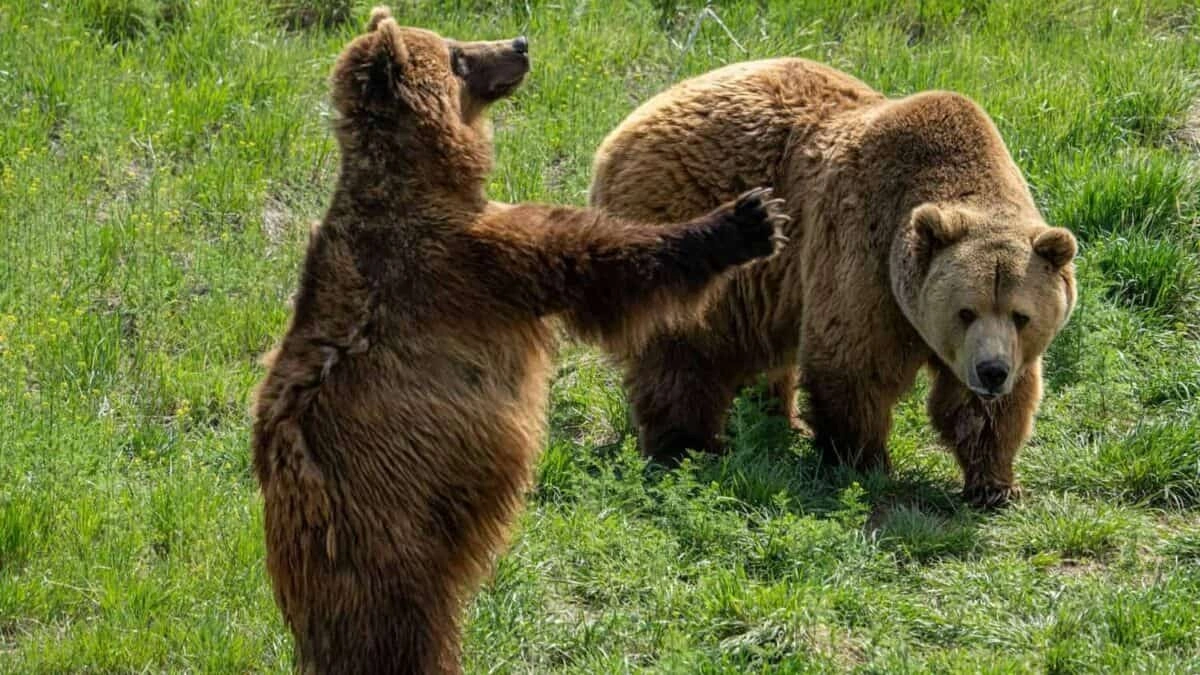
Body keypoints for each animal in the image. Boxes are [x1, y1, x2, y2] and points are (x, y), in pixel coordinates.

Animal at [251, 10, 787, 675]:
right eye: (456, 55)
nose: (519, 43)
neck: (424, 179)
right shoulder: (475, 262)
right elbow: (595, 261)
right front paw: (746, 219)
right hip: (388, 523)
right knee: (399, 623)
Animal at [589, 58, 1078, 508]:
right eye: (965, 311)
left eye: (1021, 315)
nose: (992, 371)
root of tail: (621, 132)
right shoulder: (864, 253)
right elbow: (852, 362)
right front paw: (864, 462)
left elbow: (986, 408)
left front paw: (996, 484)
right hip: (689, 215)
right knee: (684, 347)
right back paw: (687, 445)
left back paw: (776, 419)